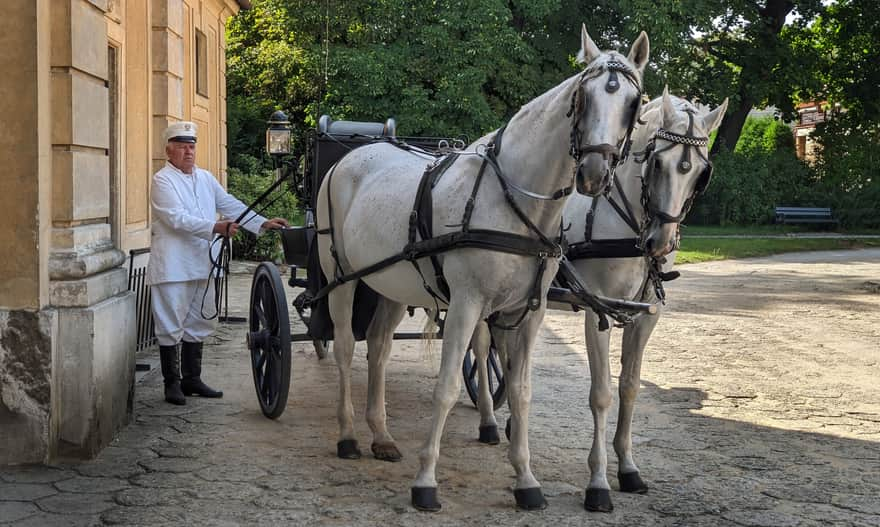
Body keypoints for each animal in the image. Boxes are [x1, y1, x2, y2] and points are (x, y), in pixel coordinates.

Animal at [314, 24, 648, 512]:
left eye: (633, 103)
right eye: (582, 98)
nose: (593, 172)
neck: (512, 198)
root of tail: (350, 156)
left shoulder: (529, 312)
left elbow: (521, 391)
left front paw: (526, 480)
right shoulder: (467, 304)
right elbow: (448, 387)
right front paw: (426, 482)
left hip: (393, 284)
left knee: (378, 348)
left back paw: (382, 435)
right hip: (340, 278)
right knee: (341, 348)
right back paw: (347, 435)